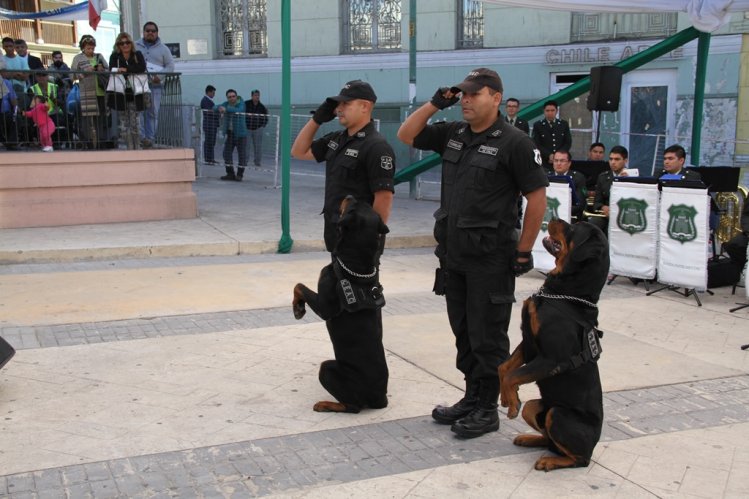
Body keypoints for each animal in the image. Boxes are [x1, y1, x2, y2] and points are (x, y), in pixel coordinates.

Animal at [290, 195, 388, 414]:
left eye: (351, 206)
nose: (349, 195)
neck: (354, 264)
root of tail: (381, 399)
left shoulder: (325, 306)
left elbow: (299, 285)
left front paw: (298, 308)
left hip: (327, 368)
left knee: (353, 406)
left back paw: (326, 404)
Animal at [496, 220, 608, 472]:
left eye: (575, 228)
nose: (555, 219)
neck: (567, 293)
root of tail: (595, 441)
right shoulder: (528, 342)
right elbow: (505, 368)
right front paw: (508, 398)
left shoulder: (550, 359)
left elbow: (512, 375)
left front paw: (512, 403)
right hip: (536, 407)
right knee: (550, 439)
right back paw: (529, 439)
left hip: (557, 413)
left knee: (580, 459)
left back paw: (549, 460)